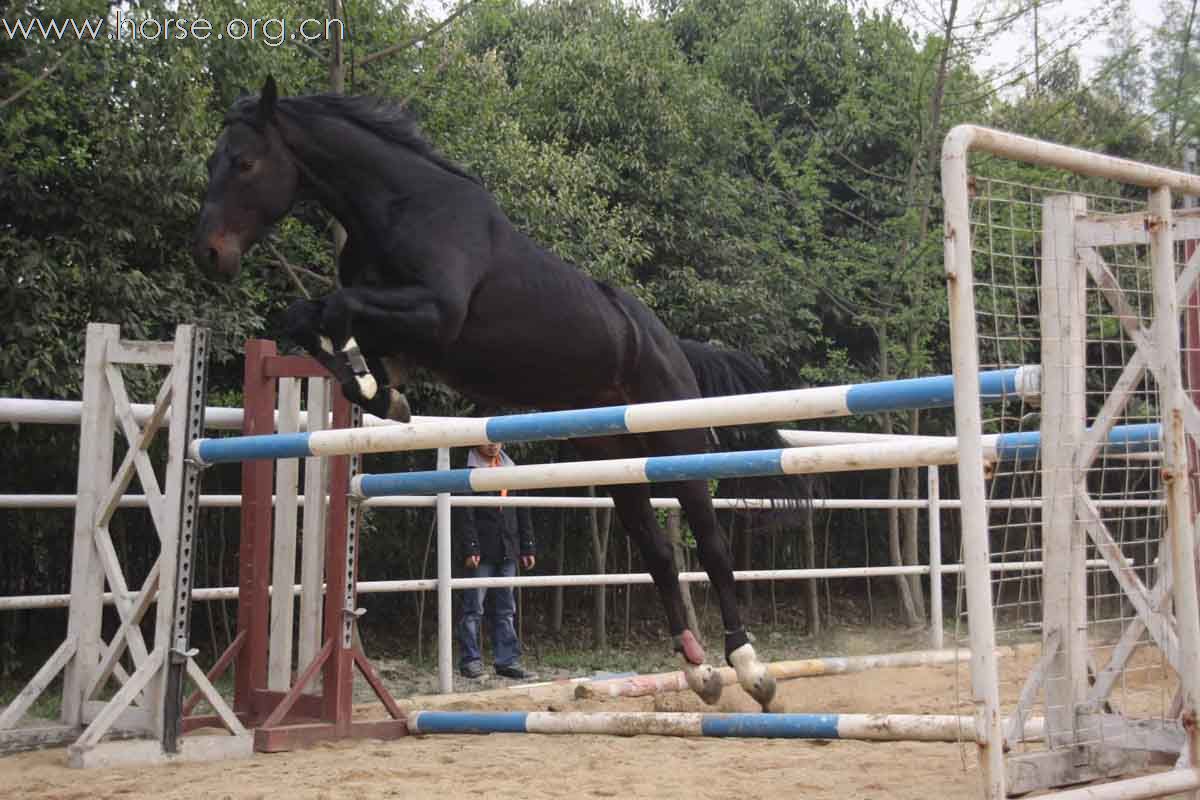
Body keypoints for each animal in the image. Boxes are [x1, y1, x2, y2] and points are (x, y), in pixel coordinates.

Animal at [190, 76, 782, 705]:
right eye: (212, 162)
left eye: (245, 162)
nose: (209, 253)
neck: (396, 206)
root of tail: (671, 343)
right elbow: (309, 317)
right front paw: (377, 390)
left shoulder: (436, 313)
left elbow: (336, 308)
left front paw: (373, 385)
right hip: (613, 454)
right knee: (658, 550)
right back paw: (698, 669)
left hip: (675, 440)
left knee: (712, 544)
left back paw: (749, 668)